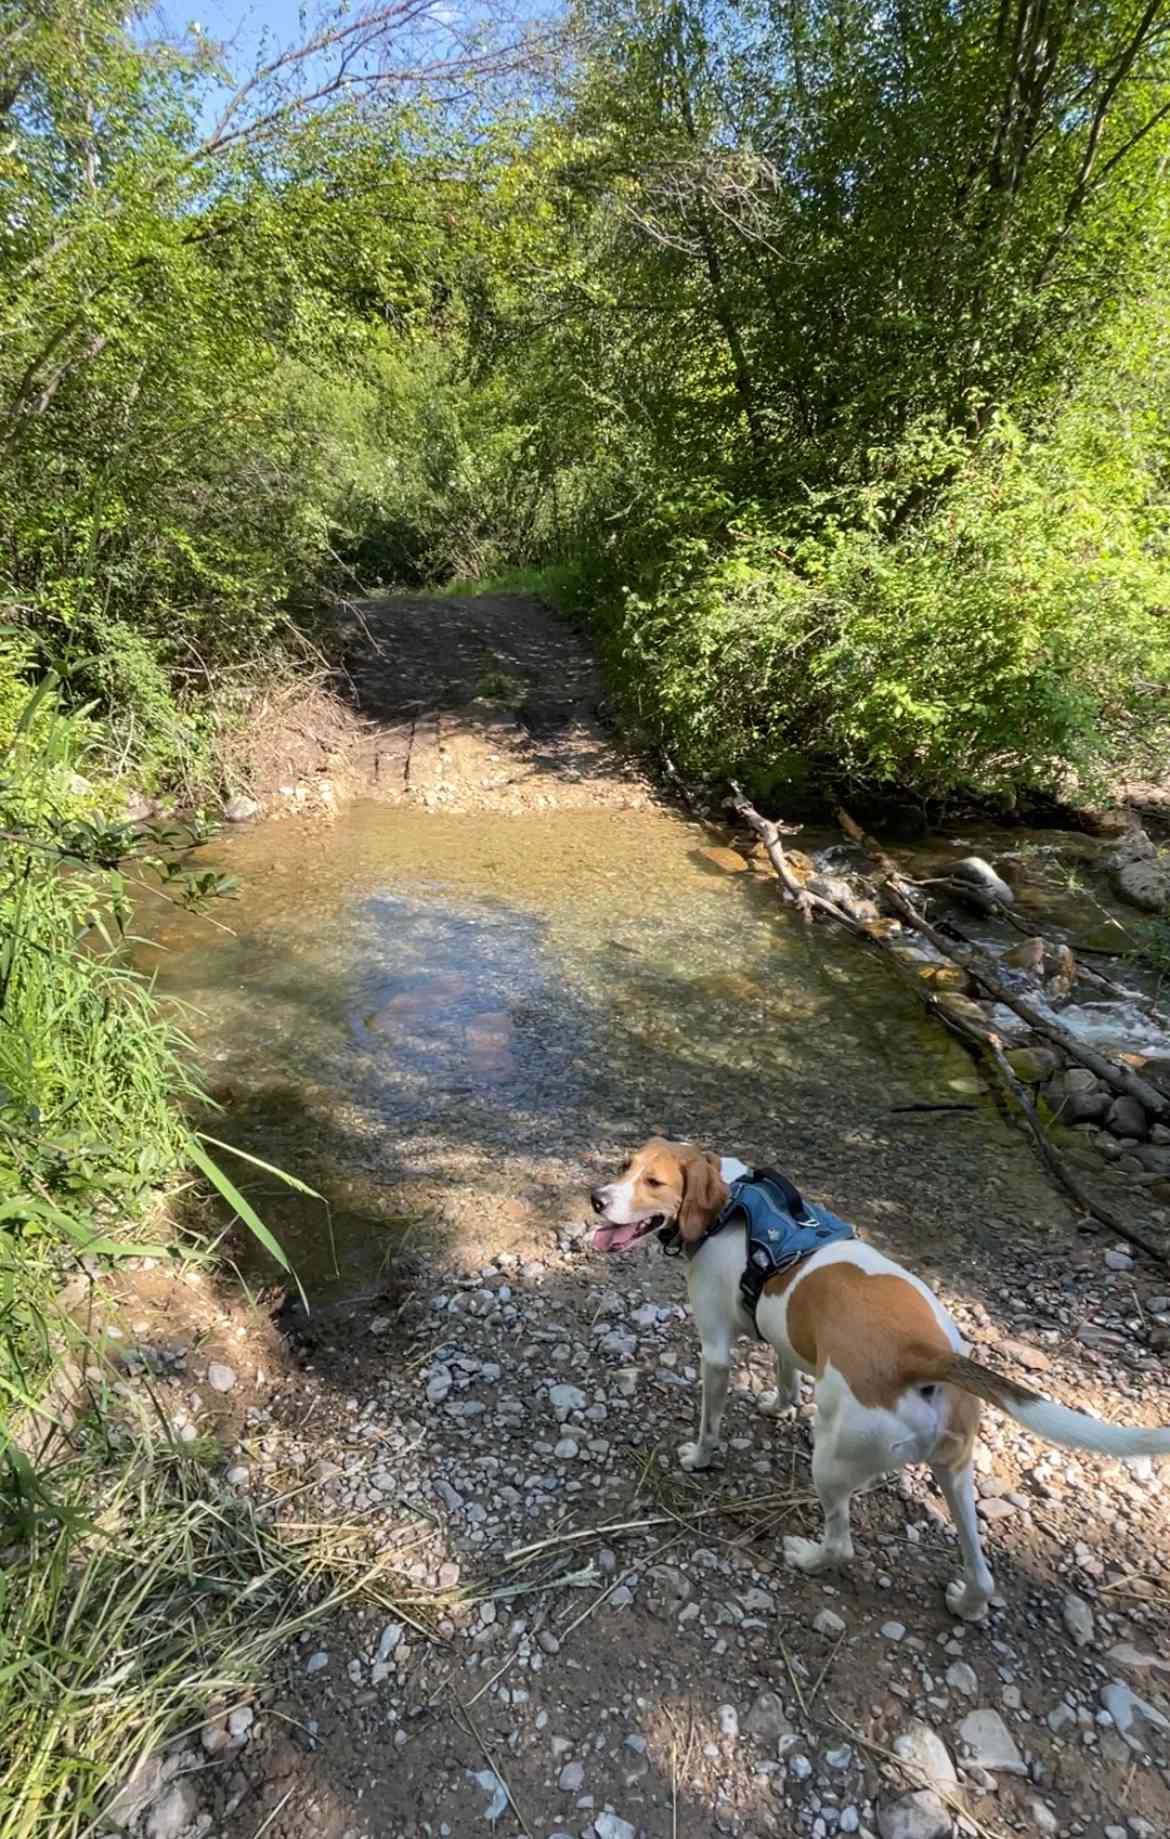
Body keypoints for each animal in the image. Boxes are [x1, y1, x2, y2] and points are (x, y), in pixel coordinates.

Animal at [588, 1132, 1170, 1625]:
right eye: (624, 1167)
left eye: (654, 1182)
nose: (596, 1199)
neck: (731, 1206)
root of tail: (927, 1354)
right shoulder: (782, 1332)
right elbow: (784, 1372)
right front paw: (779, 1404)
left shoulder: (714, 1354)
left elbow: (710, 1422)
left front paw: (699, 1458)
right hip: (954, 1473)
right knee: (981, 1570)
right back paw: (967, 1603)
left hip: (830, 1463)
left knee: (842, 1544)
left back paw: (806, 1557)